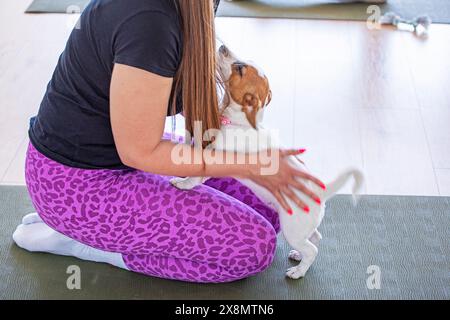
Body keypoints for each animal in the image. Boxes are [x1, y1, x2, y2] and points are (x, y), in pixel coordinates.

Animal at [171, 45, 364, 280]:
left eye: (240, 69)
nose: (223, 47)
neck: (241, 122)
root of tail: (321, 192)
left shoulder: (215, 155)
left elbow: (195, 175)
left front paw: (181, 183)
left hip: (292, 229)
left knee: (313, 249)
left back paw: (298, 271)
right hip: (302, 228)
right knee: (316, 237)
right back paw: (298, 257)